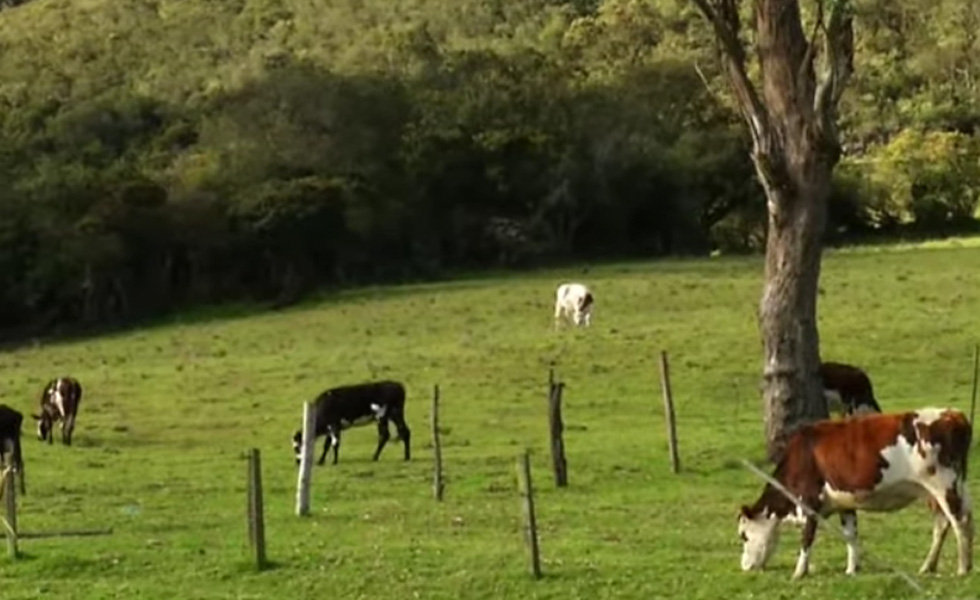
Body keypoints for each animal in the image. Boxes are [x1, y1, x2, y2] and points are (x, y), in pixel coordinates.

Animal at [740, 408, 976, 576]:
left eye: (743, 536)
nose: (744, 567)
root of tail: (953, 414)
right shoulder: (845, 503)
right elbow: (851, 535)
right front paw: (852, 569)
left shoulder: (810, 501)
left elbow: (807, 538)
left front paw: (799, 572)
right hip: (944, 489)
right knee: (944, 523)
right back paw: (929, 566)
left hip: (943, 484)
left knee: (959, 521)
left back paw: (963, 568)